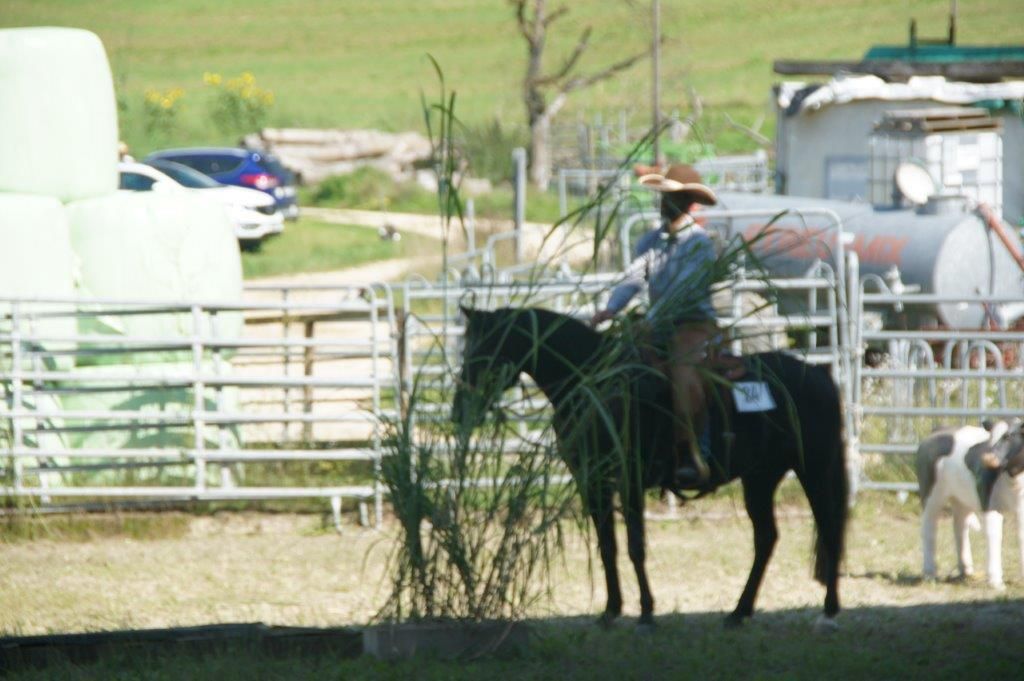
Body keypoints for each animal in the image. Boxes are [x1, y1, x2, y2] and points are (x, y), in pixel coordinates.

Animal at [451, 306, 848, 630]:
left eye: (485, 349)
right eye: (466, 350)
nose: (460, 411)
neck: (594, 384)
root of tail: (819, 374)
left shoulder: (629, 479)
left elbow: (635, 545)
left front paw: (645, 612)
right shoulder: (592, 480)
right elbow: (607, 545)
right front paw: (611, 610)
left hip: (813, 468)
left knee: (828, 528)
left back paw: (828, 612)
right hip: (760, 477)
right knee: (766, 537)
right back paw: (739, 612)